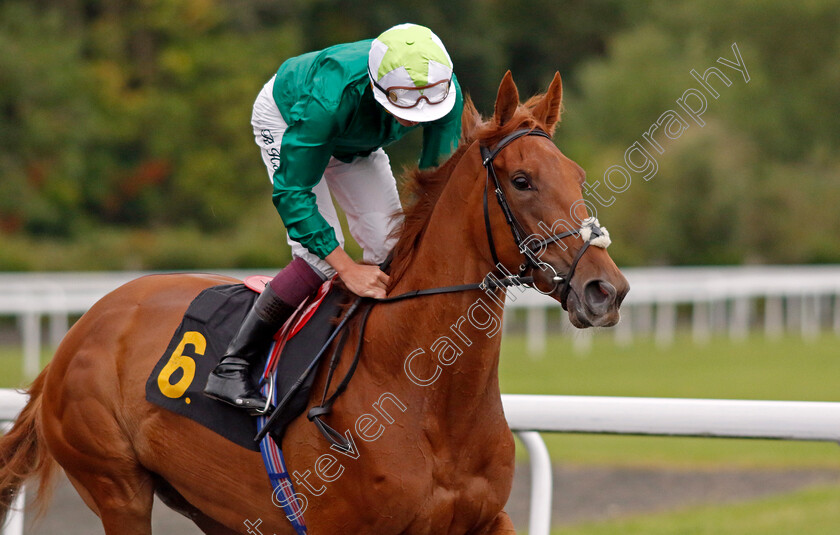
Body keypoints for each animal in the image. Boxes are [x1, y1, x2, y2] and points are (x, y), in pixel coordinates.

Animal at [0, 72, 628, 535]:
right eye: (521, 180)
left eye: (578, 176)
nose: (606, 289)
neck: (422, 391)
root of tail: (80, 331)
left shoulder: (484, 520)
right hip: (118, 488)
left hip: (217, 509)